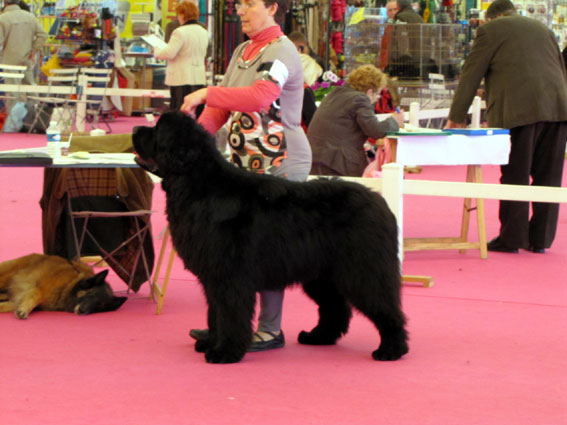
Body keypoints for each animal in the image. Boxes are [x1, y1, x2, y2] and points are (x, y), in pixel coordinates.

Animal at [133, 112, 408, 362]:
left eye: (157, 130)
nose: (135, 128)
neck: (198, 184)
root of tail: (380, 202)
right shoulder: (213, 276)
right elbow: (214, 313)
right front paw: (210, 342)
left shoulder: (230, 276)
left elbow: (229, 314)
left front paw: (225, 352)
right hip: (321, 274)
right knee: (335, 308)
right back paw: (318, 337)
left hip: (364, 271)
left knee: (385, 306)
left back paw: (391, 350)